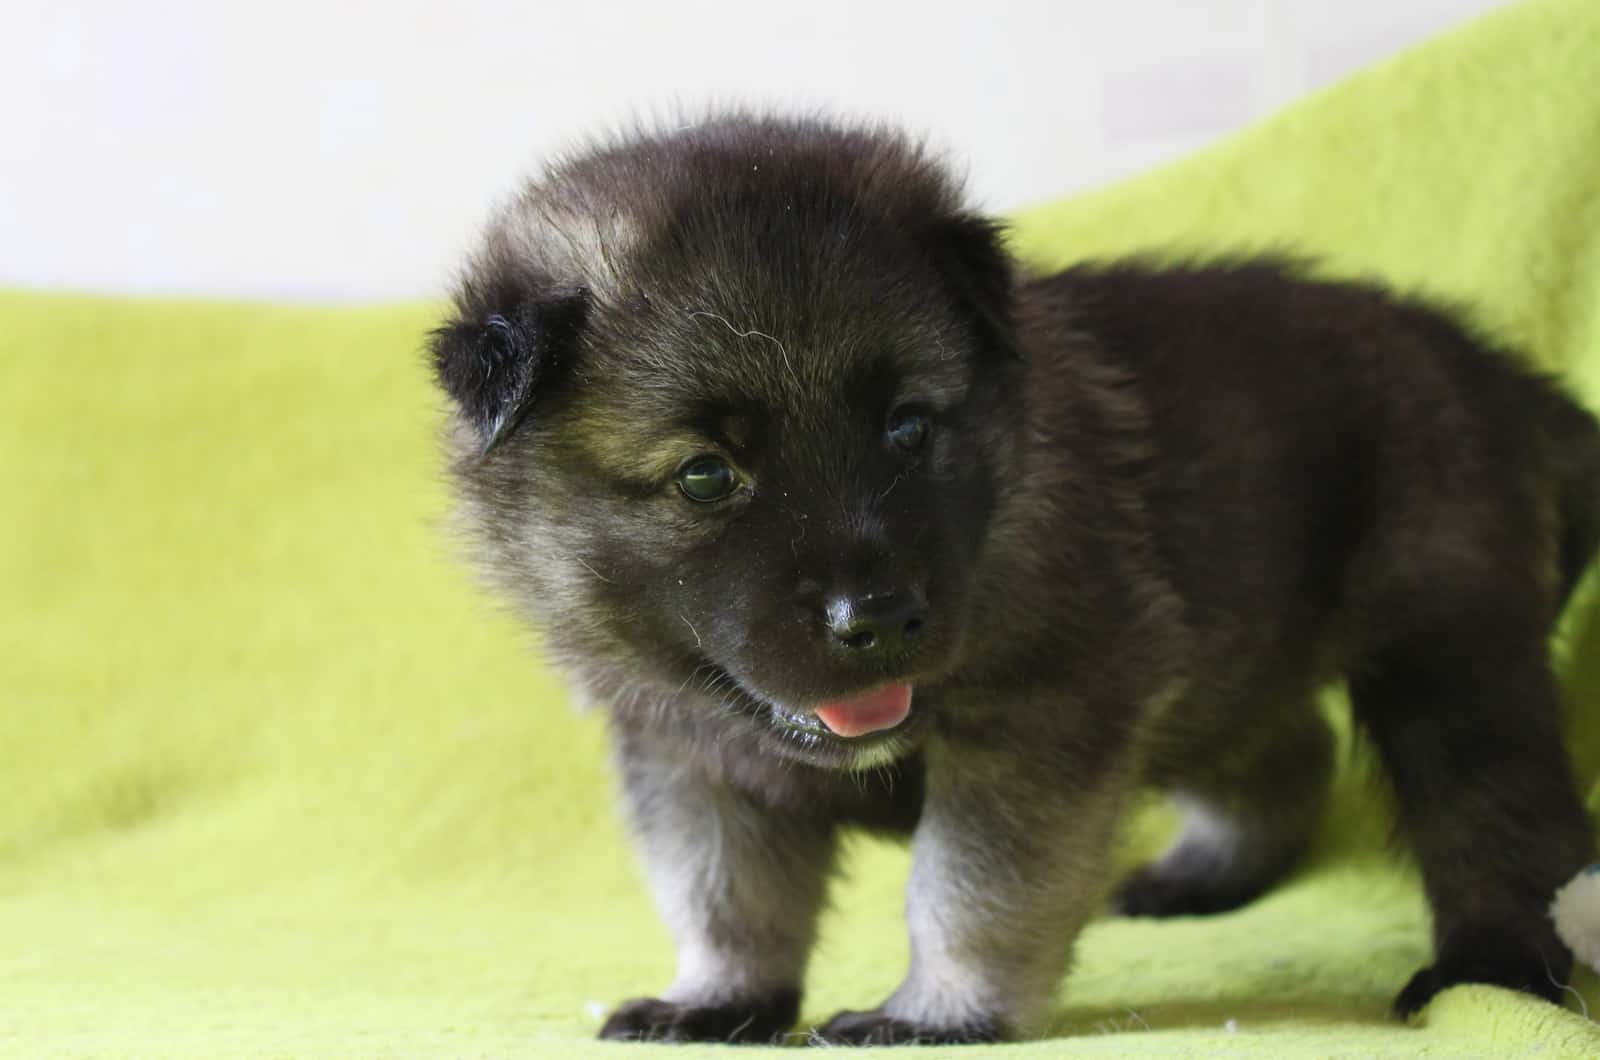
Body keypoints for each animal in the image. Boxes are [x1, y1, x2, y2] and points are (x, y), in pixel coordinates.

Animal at [425, 114, 1600, 1043]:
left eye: (908, 427)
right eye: (707, 475)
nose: (878, 619)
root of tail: (1504, 373)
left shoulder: (1042, 715)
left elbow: (971, 884)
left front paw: (941, 1010)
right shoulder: (691, 755)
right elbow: (724, 892)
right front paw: (720, 997)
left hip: (1446, 648)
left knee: (1496, 813)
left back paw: (1492, 967)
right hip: (1233, 644)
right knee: (1288, 752)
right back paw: (1204, 875)